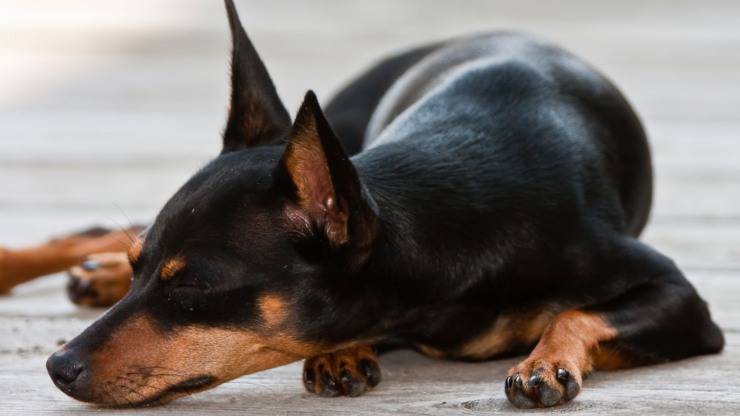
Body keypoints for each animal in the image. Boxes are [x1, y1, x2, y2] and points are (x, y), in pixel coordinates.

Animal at [0, 0, 724, 410]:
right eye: (144, 270)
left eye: (195, 289)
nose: (57, 367)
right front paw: (344, 349)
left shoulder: (685, 301)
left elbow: (576, 311)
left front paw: (546, 360)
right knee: (100, 227)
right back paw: (61, 267)